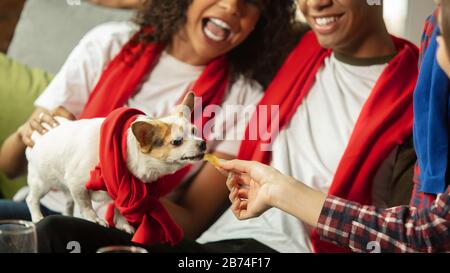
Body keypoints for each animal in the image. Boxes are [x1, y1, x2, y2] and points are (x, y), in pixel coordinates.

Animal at [25, 92, 205, 233]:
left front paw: (123, 224)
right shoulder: (77, 184)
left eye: (195, 131)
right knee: (31, 199)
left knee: (68, 203)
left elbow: (120, 208)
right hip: (42, 182)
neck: (123, 153)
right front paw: (94, 219)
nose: (203, 143)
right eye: (177, 142)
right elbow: (86, 205)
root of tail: (38, 134)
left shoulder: (121, 189)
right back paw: (37, 217)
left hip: (64, 188)